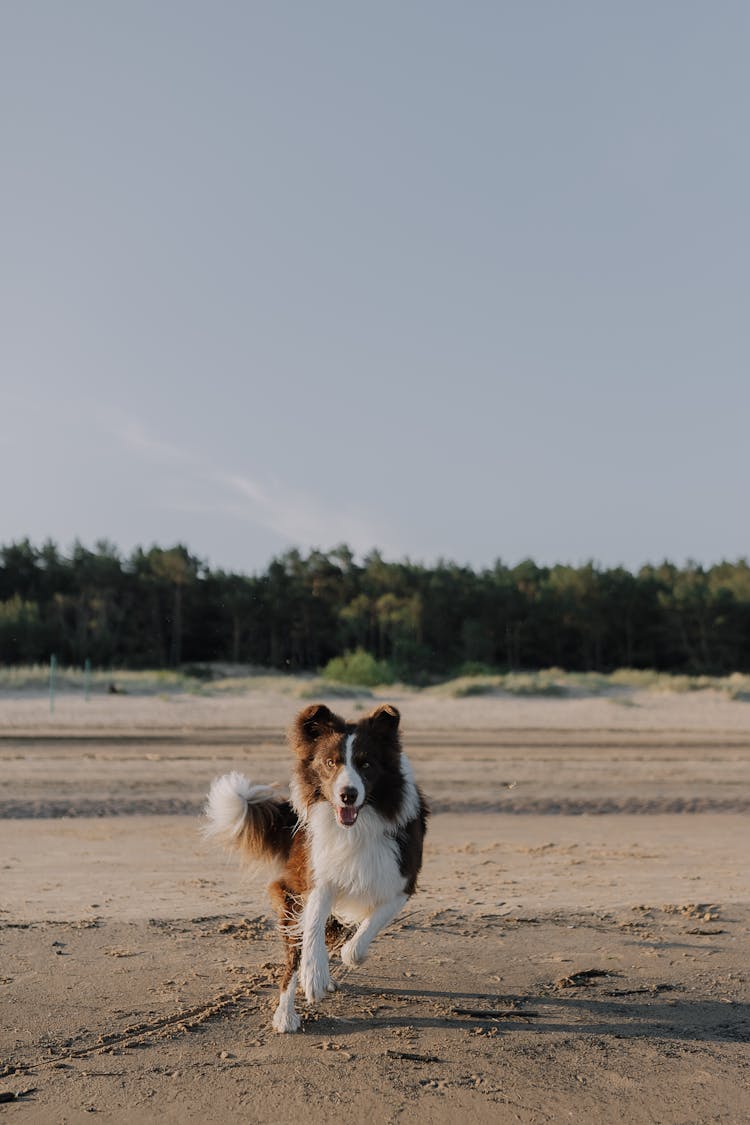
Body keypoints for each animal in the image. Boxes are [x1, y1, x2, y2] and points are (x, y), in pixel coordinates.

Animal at [203, 706, 427, 1030]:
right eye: (330, 763)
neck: (357, 827)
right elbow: (313, 924)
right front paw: (314, 975)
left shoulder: (402, 880)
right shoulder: (316, 876)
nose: (348, 794)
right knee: (293, 958)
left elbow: (364, 934)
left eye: (366, 764)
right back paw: (285, 1014)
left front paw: (348, 956)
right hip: (291, 892)